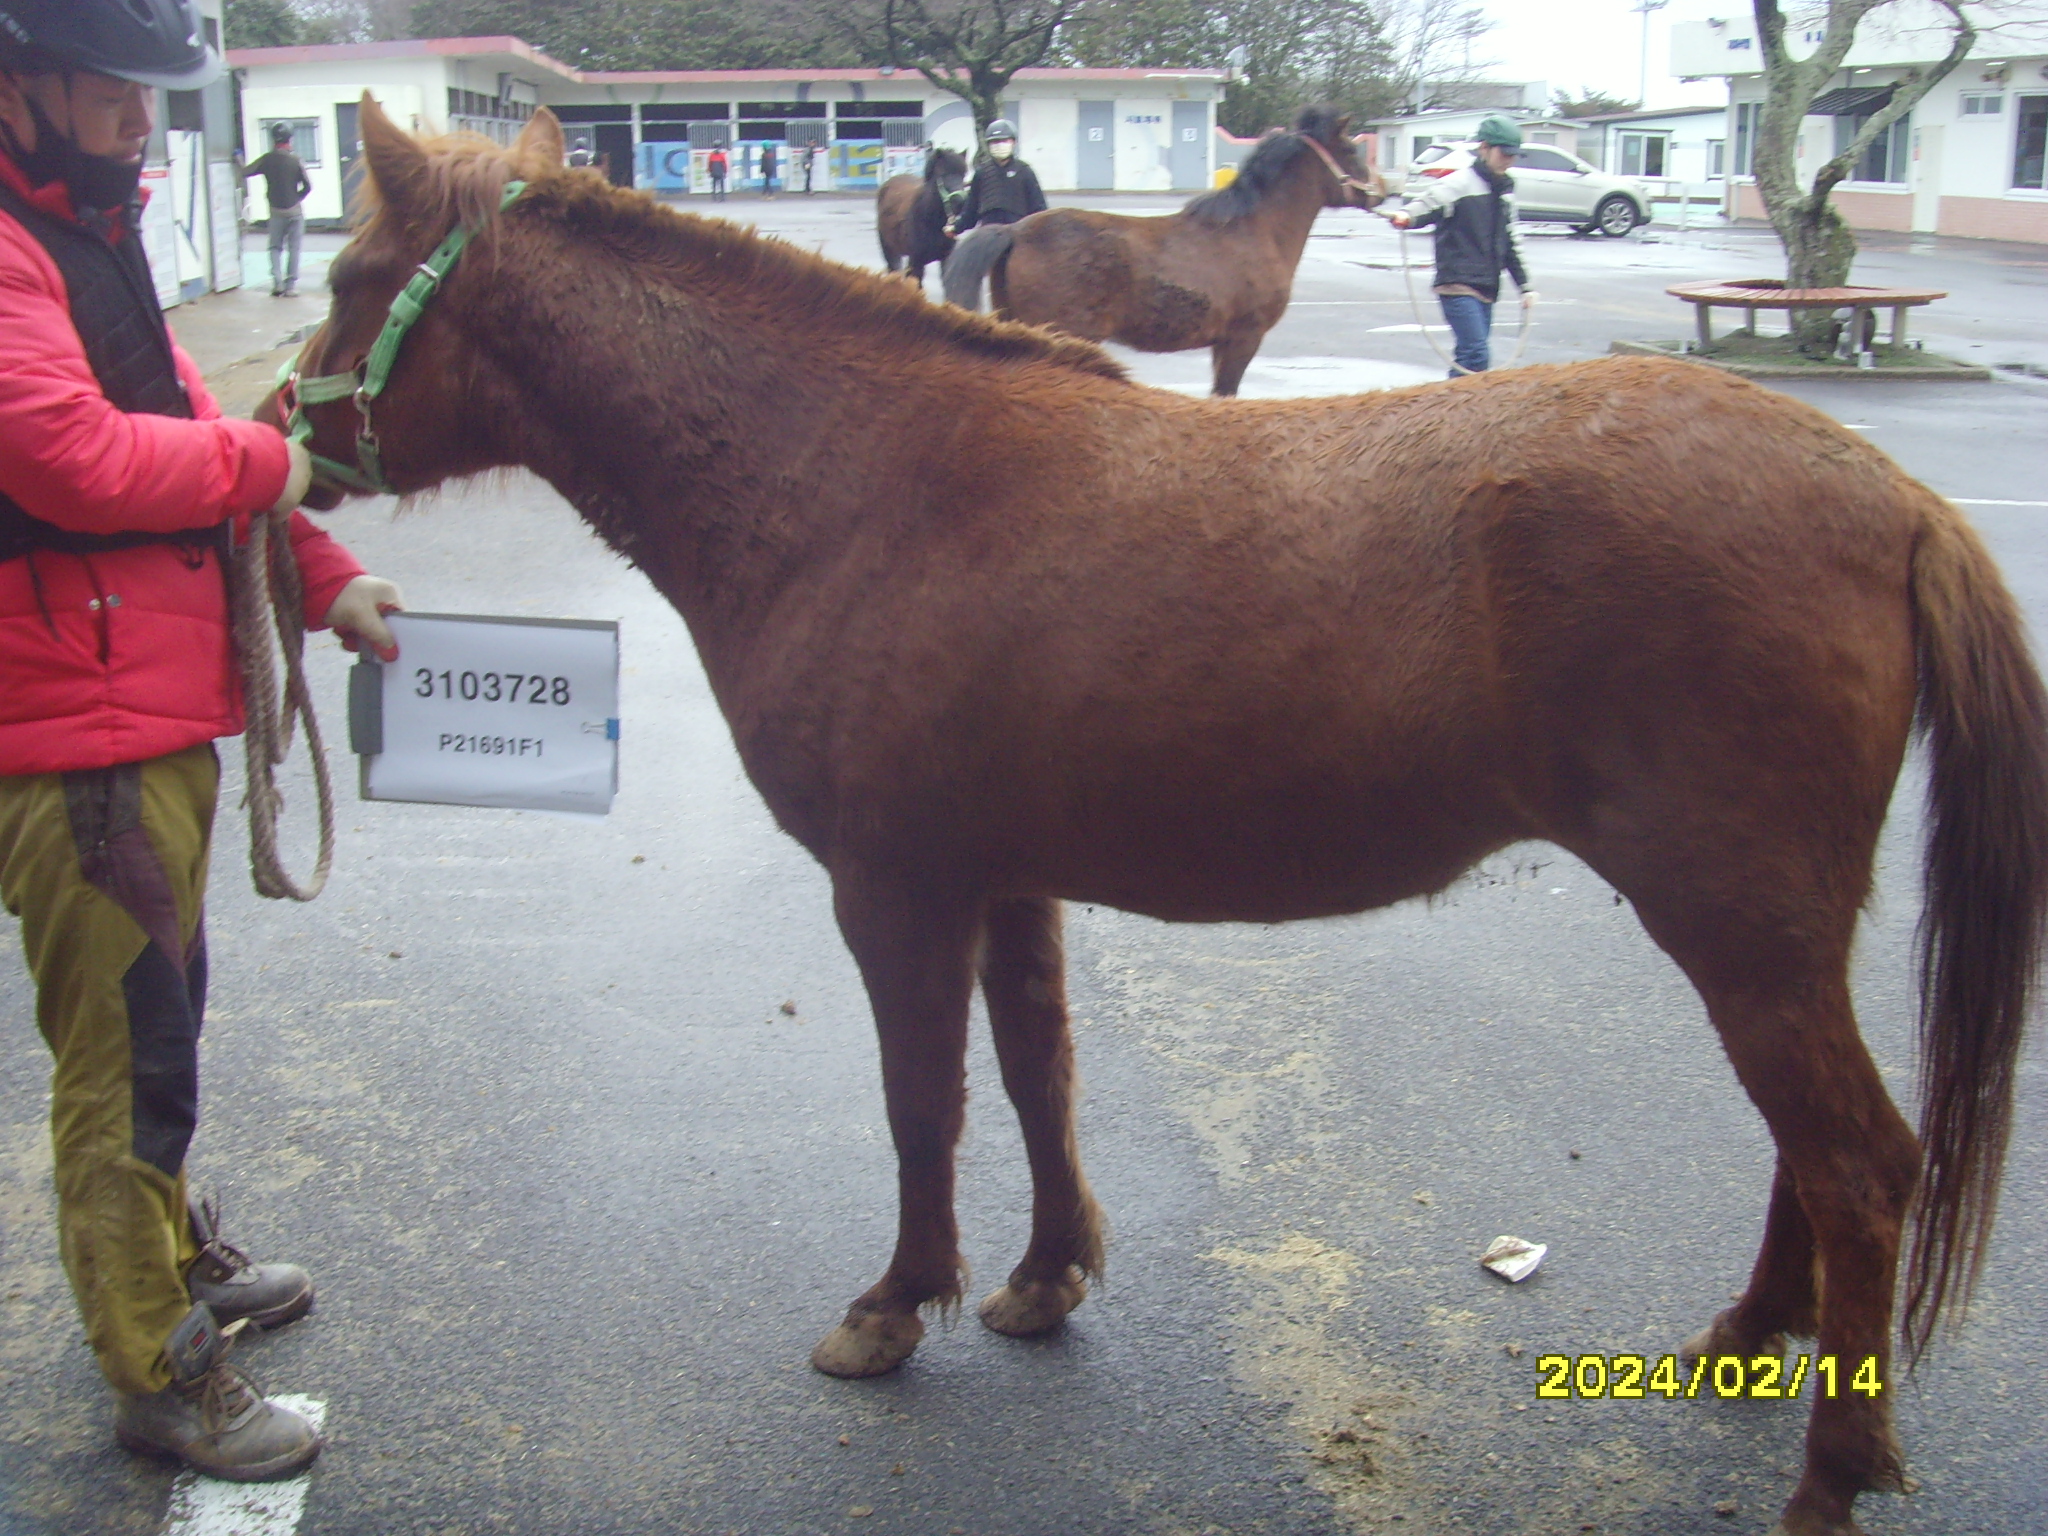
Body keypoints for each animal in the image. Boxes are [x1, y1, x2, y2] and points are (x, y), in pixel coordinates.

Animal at [876, 147, 970, 288]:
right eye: (943, 174)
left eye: (963, 174)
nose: (960, 202)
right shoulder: (916, 262)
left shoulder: (946, 259)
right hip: (889, 251)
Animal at [942, 105, 1392, 397]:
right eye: (1350, 150)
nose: (1385, 190)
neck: (1255, 230)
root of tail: (1015, 230)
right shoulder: (1243, 339)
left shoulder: (1221, 344)